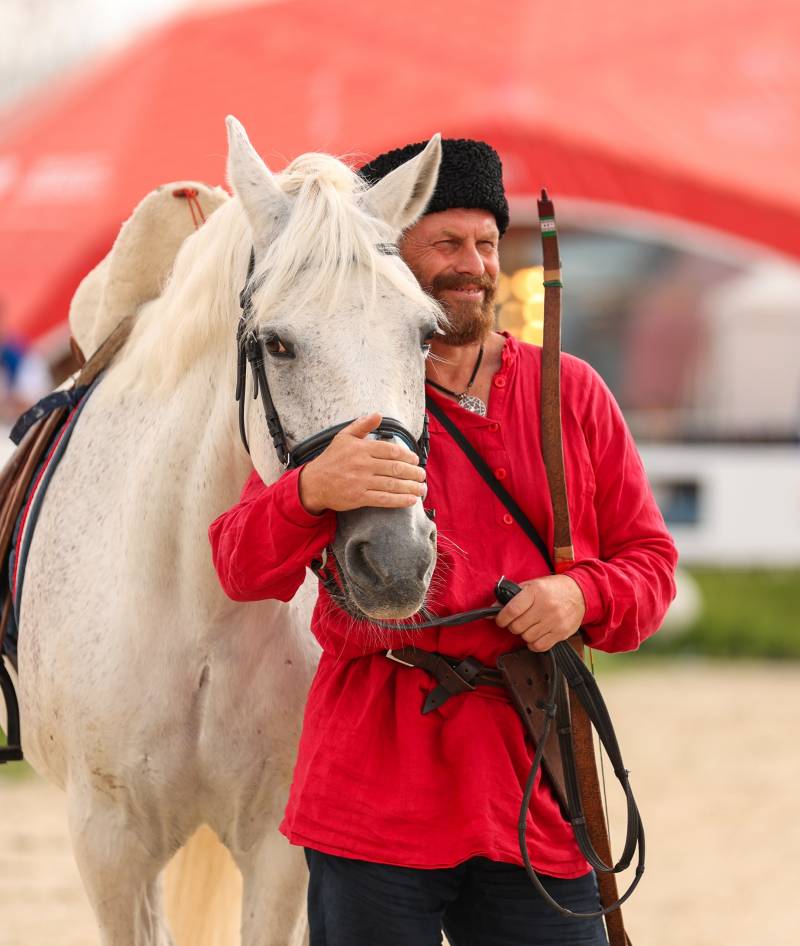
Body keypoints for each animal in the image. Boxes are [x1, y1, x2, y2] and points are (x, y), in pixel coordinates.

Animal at [12, 118, 440, 944]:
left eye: (426, 335)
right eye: (276, 343)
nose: (395, 560)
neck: (196, 601)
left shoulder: (279, 846)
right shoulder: (110, 847)